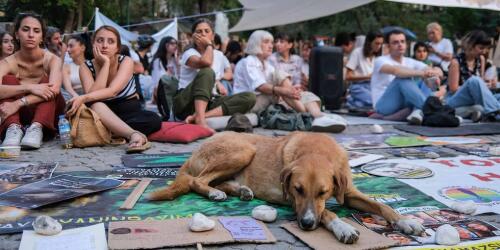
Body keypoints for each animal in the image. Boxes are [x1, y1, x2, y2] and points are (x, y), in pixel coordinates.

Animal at [149, 132, 426, 243]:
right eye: (297, 190)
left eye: (324, 192)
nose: (305, 224)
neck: (317, 151)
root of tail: (195, 150)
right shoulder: (294, 201)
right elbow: (328, 212)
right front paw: (343, 227)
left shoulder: (347, 192)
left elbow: (380, 206)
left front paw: (406, 222)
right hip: (242, 150)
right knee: (198, 180)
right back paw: (216, 192)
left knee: (217, 181)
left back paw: (242, 191)